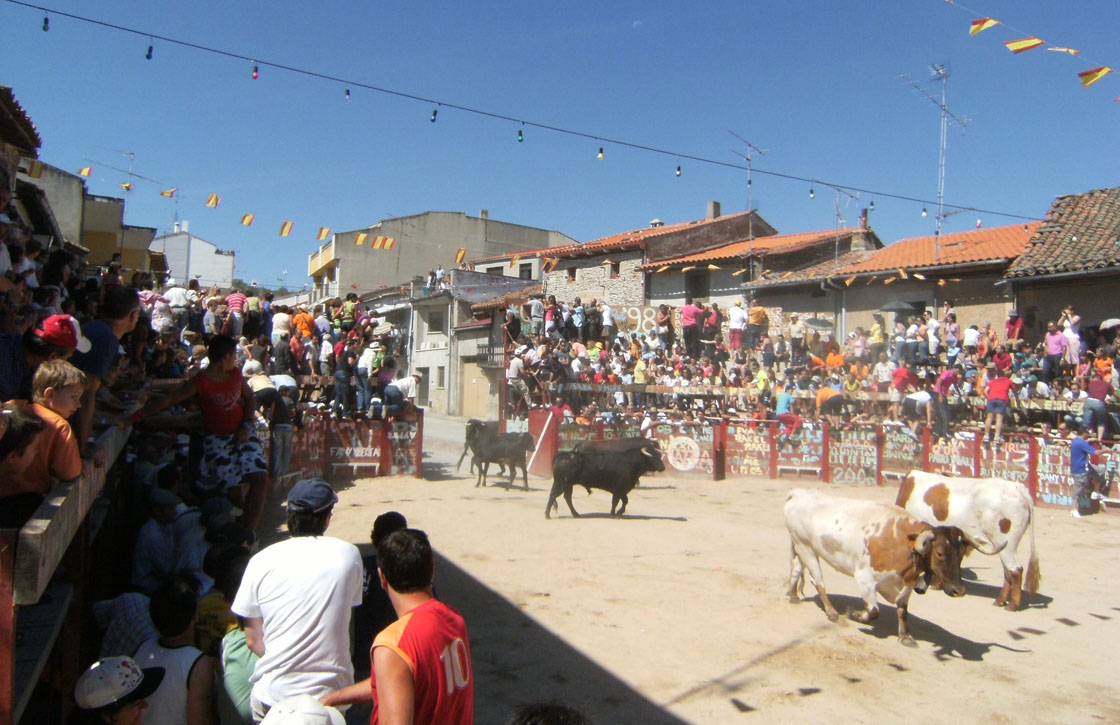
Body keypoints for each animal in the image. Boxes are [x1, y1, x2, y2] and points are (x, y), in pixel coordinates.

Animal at [784, 490, 967, 649]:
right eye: (940, 553)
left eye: (961, 555)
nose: (959, 590)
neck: (900, 541)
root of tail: (798, 493)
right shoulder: (865, 579)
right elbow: (873, 611)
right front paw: (858, 615)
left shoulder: (907, 584)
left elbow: (902, 609)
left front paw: (905, 636)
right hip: (806, 548)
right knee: (818, 580)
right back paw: (832, 612)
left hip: (801, 547)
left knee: (796, 568)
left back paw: (793, 596)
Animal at [891, 470, 1039, 614]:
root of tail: (1019, 489)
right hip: (1001, 545)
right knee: (1007, 571)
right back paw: (1000, 600)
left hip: (1007, 544)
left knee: (1016, 569)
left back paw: (1013, 605)